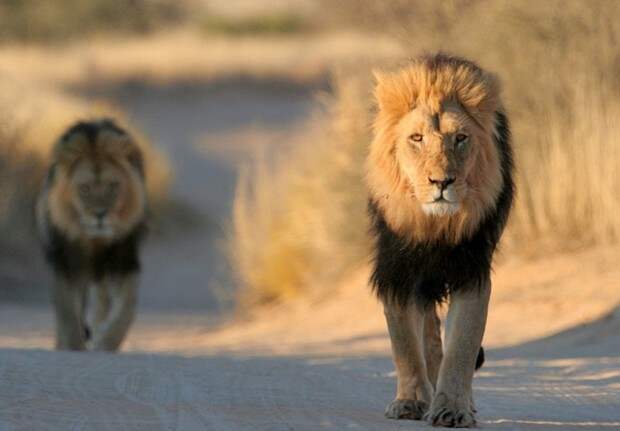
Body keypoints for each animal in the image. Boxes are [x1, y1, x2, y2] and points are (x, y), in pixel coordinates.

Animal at [36, 118, 148, 352]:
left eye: (113, 186)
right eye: (85, 188)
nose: (100, 214)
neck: (94, 239)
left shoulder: (123, 258)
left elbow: (127, 307)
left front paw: (107, 343)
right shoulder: (65, 261)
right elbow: (68, 312)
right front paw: (73, 347)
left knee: (101, 304)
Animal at [366, 54, 516, 428]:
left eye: (460, 137)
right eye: (416, 138)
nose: (442, 181)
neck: (434, 224)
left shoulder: (471, 269)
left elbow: (462, 344)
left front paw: (453, 408)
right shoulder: (397, 269)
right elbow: (405, 343)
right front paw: (410, 401)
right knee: (429, 337)